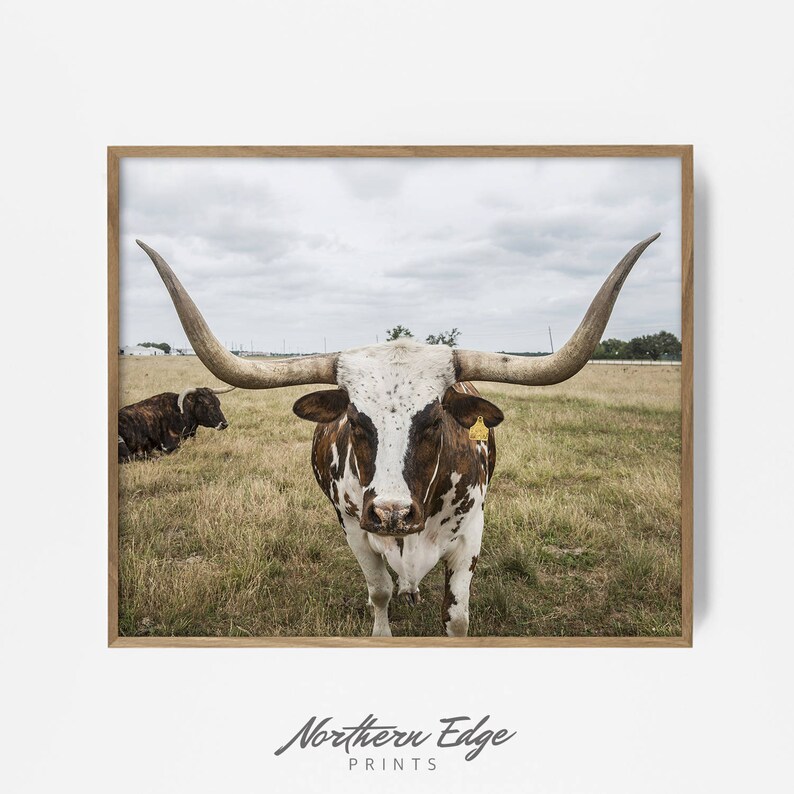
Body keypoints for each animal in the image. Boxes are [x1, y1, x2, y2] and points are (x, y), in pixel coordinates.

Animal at [137, 233, 659, 636]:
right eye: (355, 419)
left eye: (434, 420)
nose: (392, 513)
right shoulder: (355, 529)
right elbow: (379, 592)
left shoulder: (471, 535)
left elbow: (458, 617)